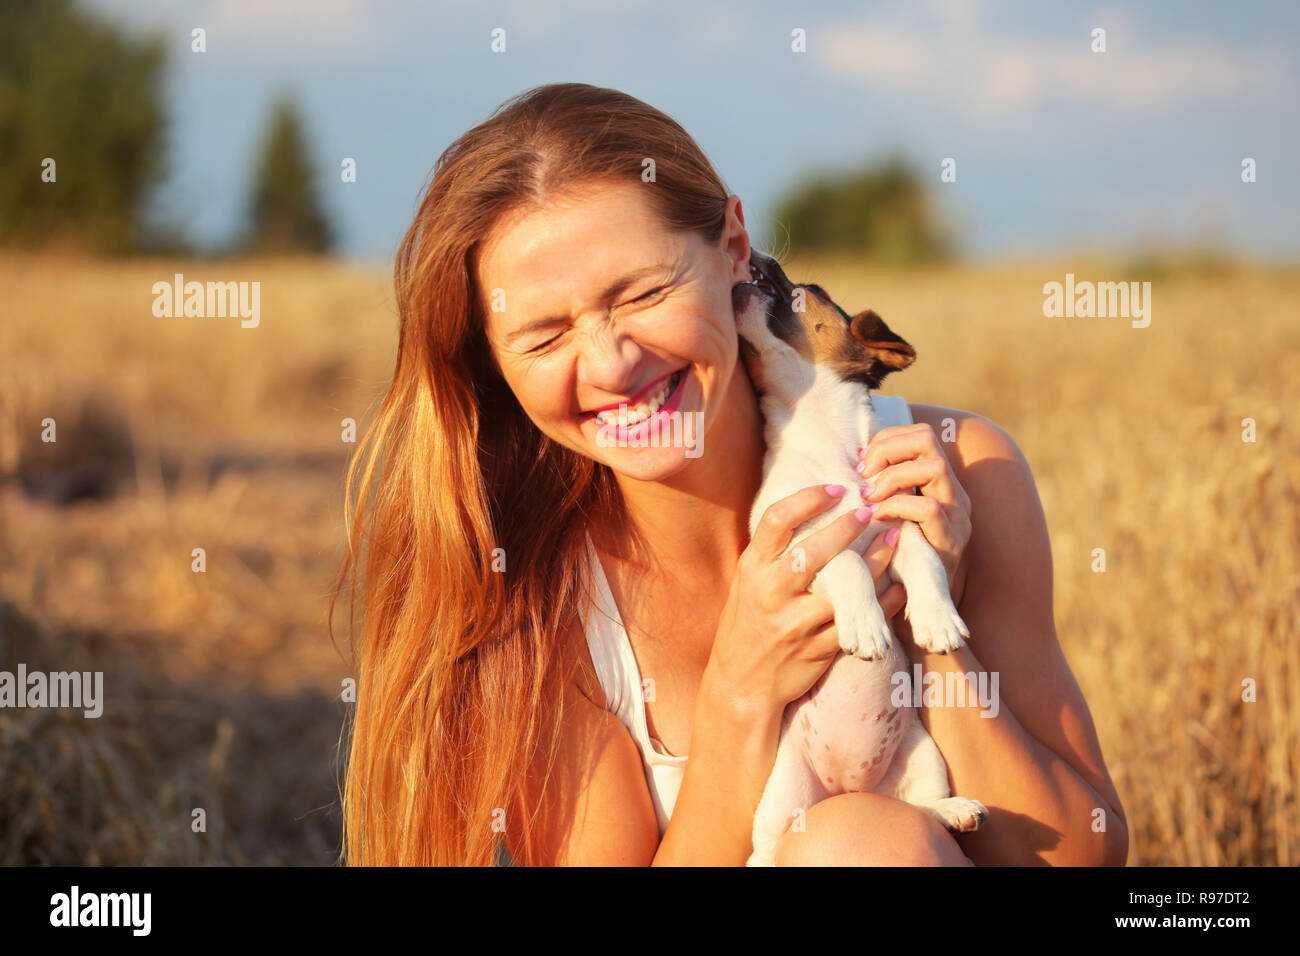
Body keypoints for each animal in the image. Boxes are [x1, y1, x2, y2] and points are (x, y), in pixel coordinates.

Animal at [733, 248, 982, 868]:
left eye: (812, 289)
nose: (759, 254)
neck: (825, 441)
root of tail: (848, 786)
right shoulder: (797, 551)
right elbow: (845, 564)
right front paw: (867, 628)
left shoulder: (898, 524)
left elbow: (925, 558)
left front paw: (938, 621)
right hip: (783, 791)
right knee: (768, 845)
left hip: (924, 754)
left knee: (918, 808)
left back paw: (954, 810)